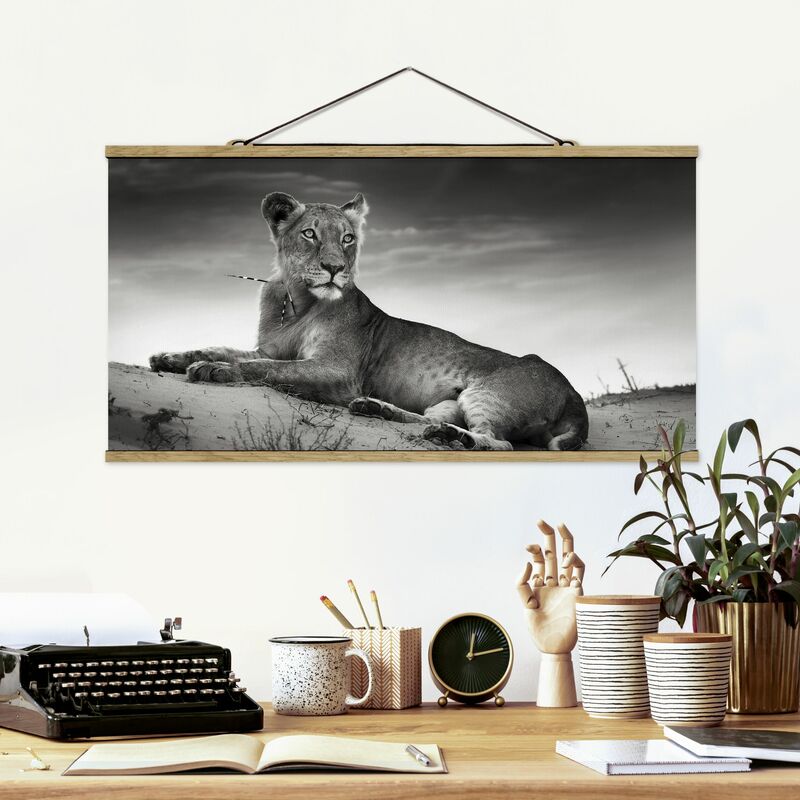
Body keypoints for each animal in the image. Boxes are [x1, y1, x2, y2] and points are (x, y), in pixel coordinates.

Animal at [149, 192, 589, 451]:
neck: (297, 302)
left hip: (487, 395)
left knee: (498, 442)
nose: (334, 268)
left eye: (347, 238)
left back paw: (451, 438)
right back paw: (380, 410)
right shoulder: (270, 347)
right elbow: (227, 348)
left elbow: (263, 368)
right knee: (427, 419)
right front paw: (171, 358)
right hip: (449, 400)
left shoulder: (338, 371)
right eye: (309, 234)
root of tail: (573, 393)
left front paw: (214, 370)